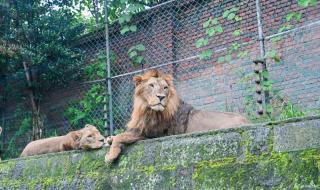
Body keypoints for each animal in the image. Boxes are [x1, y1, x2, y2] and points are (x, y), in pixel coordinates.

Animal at [105, 70, 250, 163]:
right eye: (151, 85)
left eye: (165, 88)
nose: (161, 97)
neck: (147, 109)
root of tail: (247, 120)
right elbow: (121, 134)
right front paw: (109, 139)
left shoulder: (152, 133)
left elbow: (121, 136)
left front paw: (110, 155)